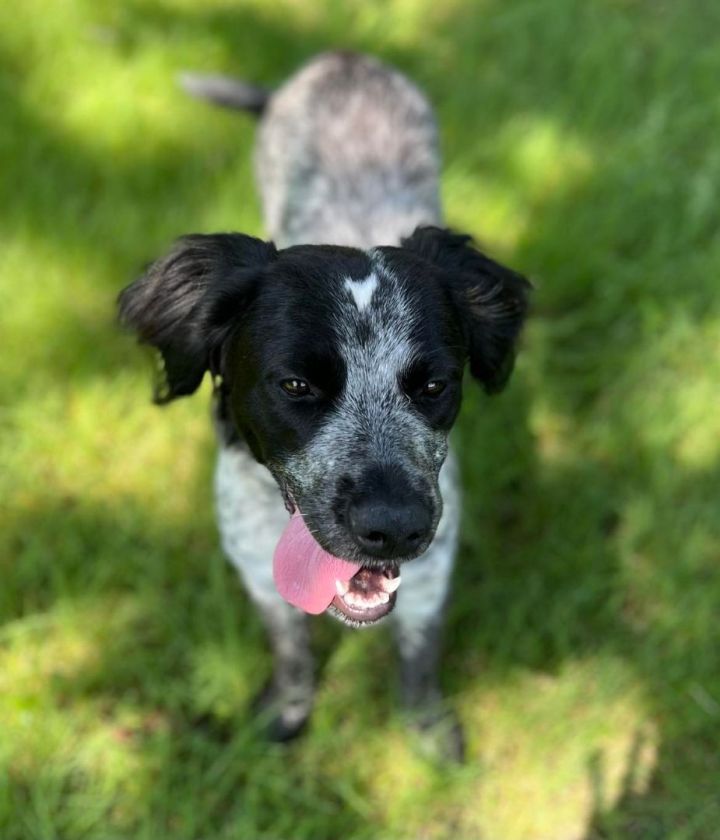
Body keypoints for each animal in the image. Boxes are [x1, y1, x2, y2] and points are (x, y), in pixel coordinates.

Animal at [119, 54, 528, 760]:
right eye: (296, 386)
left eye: (434, 386)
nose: (395, 526)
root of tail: (342, 58)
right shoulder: (257, 569)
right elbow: (290, 652)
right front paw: (287, 711)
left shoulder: (430, 575)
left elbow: (420, 655)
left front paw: (427, 726)